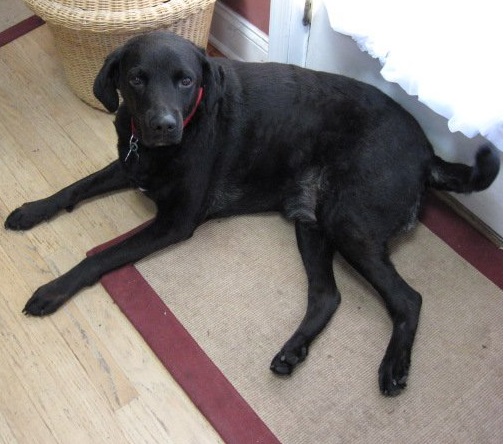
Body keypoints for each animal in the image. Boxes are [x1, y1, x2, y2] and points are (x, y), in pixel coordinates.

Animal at [4, 33, 500, 398]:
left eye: (185, 81)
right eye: (137, 79)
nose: (164, 125)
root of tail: (429, 154)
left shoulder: (175, 222)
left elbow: (103, 256)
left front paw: (53, 289)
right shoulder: (128, 165)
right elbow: (75, 186)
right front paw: (31, 210)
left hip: (348, 223)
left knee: (407, 298)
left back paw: (393, 367)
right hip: (312, 224)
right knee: (327, 296)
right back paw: (291, 352)